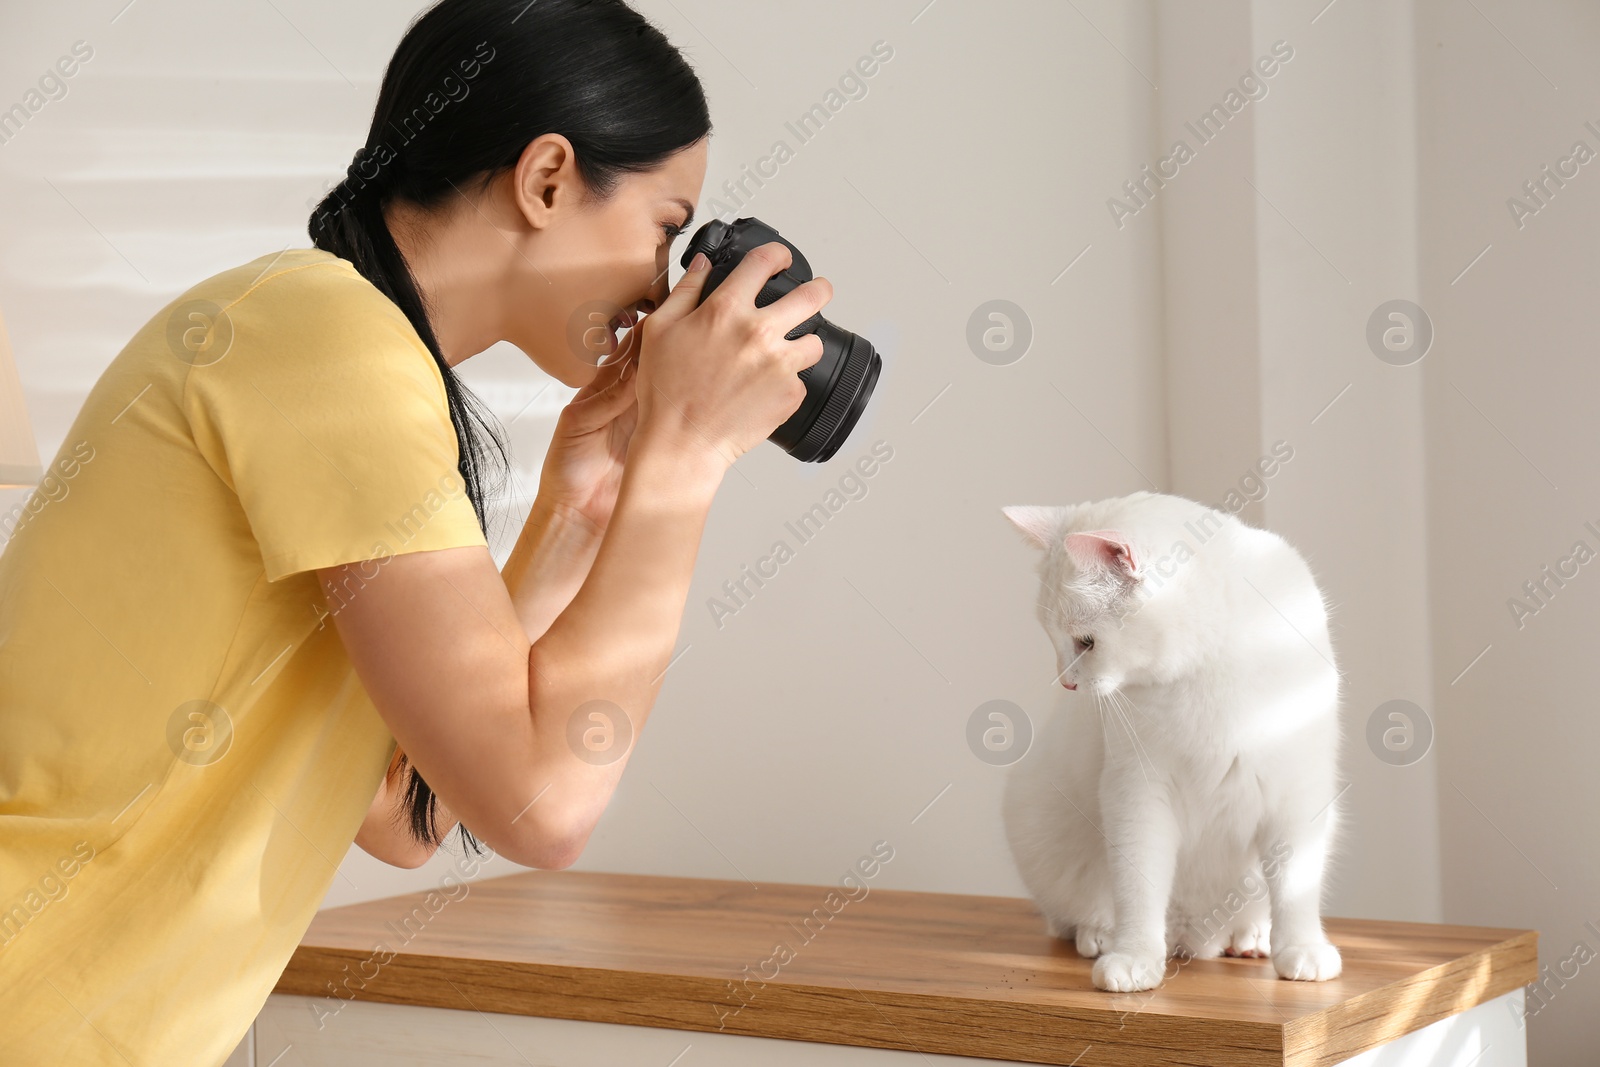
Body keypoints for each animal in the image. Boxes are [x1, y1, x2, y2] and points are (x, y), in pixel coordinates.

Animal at [1004, 492, 1344, 991]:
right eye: (1054, 639)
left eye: (1086, 642)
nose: (1066, 683)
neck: (1209, 669)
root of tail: (1195, 939)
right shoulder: (1136, 795)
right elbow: (1139, 889)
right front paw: (1135, 960)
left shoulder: (1297, 794)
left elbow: (1294, 888)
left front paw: (1301, 950)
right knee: (1076, 916)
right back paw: (1101, 936)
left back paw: (1250, 939)